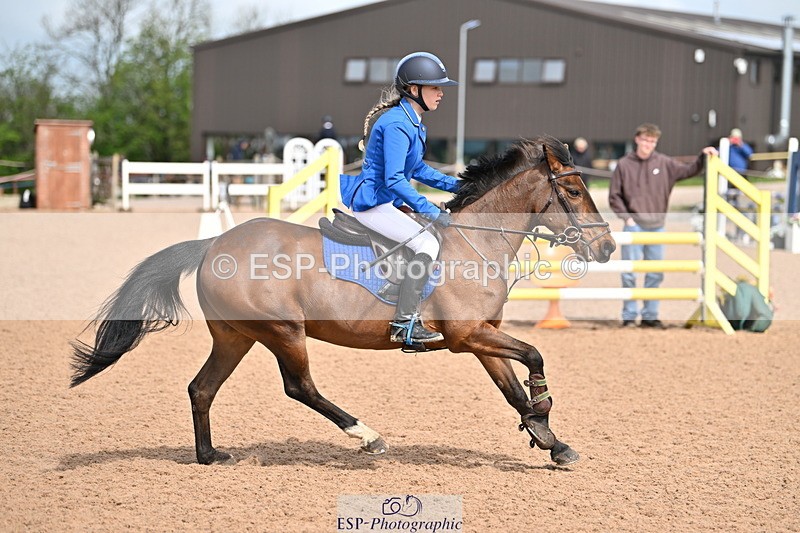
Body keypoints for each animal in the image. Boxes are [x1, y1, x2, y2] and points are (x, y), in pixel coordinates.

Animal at [70, 135, 616, 467]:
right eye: (573, 189)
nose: (607, 247)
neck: (473, 243)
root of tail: (213, 245)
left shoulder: (482, 339)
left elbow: (512, 388)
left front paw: (549, 439)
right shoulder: (468, 336)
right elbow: (535, 356)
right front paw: (544, 421)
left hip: (236, 336)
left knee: (202, 388)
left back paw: (208, 455)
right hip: (283, 332)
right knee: (299, 387)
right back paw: (367, 436)